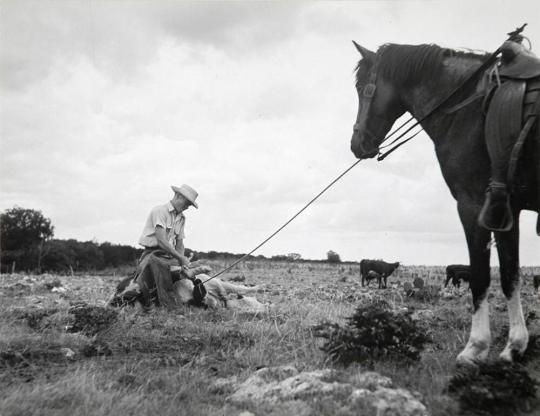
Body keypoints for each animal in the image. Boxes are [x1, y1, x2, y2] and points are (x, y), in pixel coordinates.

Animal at [348, 40, 536, 362]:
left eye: (361, 88)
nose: (356, 144)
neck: (466, 108)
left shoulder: (474, 205)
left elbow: (483, 277)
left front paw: (476, 348)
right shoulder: (507, 209)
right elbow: (510, 275)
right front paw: (513, 346)